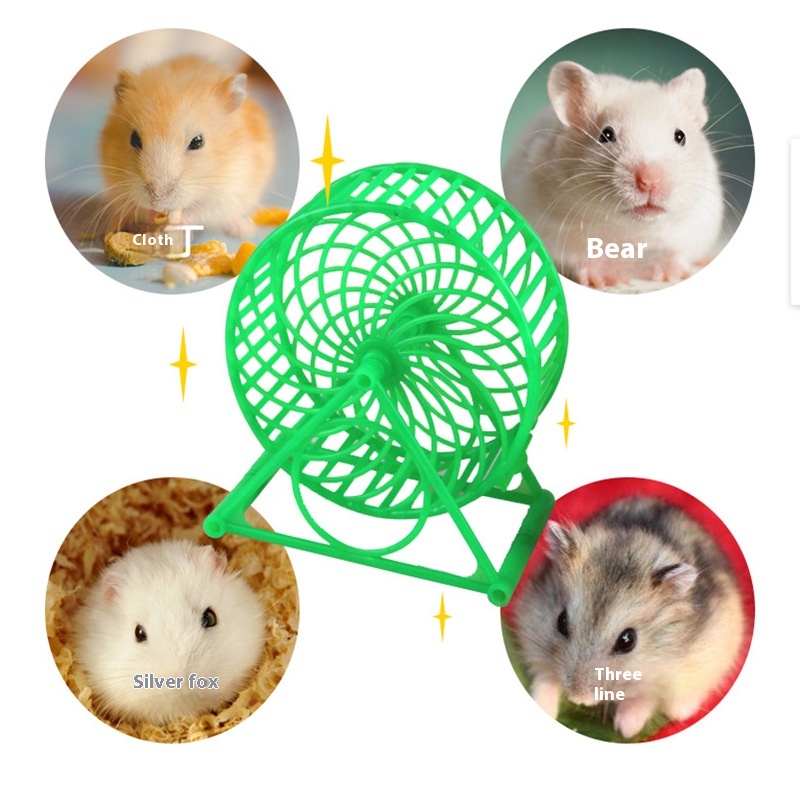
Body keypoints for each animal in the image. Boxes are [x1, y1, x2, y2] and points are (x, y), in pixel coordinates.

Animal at [99, 55, 274, 237]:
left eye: (197, 142)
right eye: (134, 139)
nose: (158, 199)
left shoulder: (230, 187)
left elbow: (200, 210)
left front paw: (175, 221)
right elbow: (138, 208)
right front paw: (153, 215)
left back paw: (242, 230)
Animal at [503, 62, 724, 288]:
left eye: (680, 136)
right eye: (606, 135)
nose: (650, 182)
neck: (631, 233)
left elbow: (674, 251)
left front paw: (668, 274)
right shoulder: (550, 226)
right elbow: (577, 256)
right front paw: (605, 279)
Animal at [511, 497, 745, 739]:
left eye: (627, 640)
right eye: (561, 622)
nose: (579, 699)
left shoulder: (671, 672)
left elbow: (646, 697)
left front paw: (625, 728)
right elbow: (545, 676)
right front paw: (544, 707)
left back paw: (680, 711)